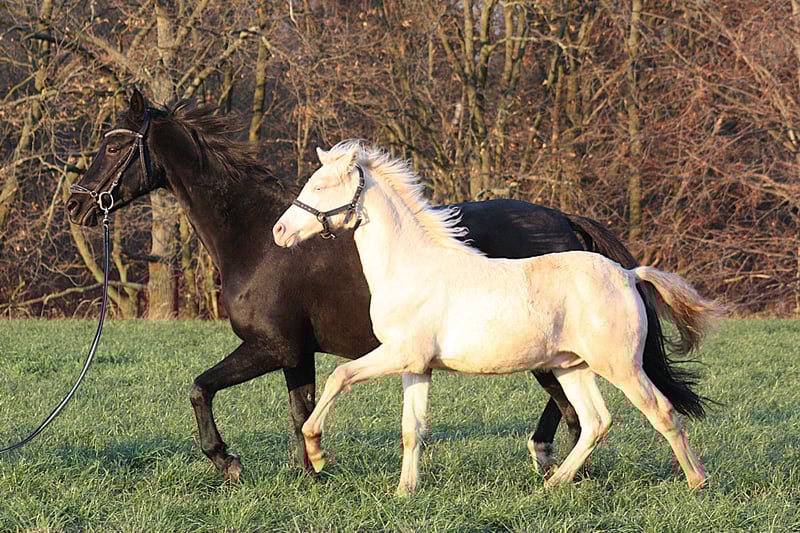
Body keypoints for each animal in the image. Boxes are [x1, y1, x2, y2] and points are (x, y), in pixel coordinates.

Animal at [68, 89, 651, 482]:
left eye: (114, 147)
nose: (77, 205)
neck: (256, 240)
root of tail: (565, 221)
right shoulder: (296, 353)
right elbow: (300, 411)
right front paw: (310, 472)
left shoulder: (270, 346)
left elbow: (200, 388)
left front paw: (227, 460)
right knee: (573, 409)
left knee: (573, 411)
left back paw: (550, 460)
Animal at [272, 140, 722, 495]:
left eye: (319, 186)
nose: (279, 232)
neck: (410, 268)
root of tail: (628, 275)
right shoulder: (416, 366)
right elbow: (411, 429)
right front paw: (405, 491)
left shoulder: (397, 354)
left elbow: (338, 377)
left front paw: (318, 453)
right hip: (572, 367)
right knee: (596, 421)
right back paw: (554, 484)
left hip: (621, 367)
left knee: (662, 413)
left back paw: (697, 482)